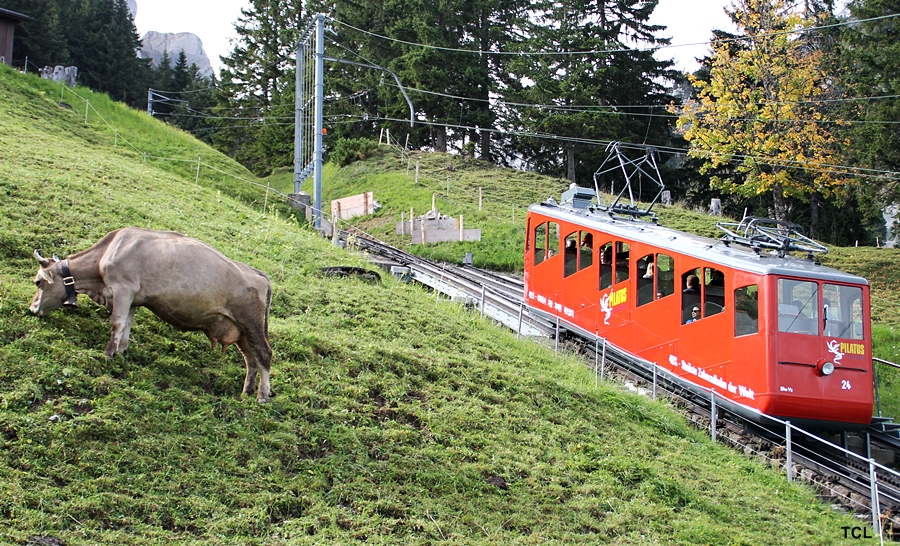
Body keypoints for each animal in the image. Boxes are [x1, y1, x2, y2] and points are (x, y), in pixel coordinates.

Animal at [30, 227, 274, 402]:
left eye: (38, 282)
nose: (32, 309)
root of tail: (257, 273)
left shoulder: (123, 289)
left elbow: (116, 323)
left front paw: (108, 354)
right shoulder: (133, 299)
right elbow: (126, 326)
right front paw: (122, 352)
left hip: (251, 322)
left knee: (264, 354)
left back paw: (262, 396)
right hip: (241, 330)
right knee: (250, 358)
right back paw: (246, 391)